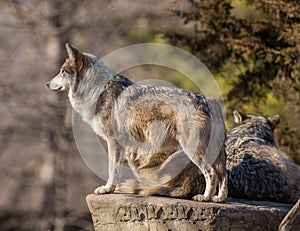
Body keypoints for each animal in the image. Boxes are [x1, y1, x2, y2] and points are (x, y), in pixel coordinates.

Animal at [45, 43, 226, 202]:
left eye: (62, 71)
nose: (47, 84)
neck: (96, 90)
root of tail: (208, 100)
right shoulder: (124, 147)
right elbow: (119, 171)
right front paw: (113, 189)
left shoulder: (113, 141)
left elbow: (112, 169)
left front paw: (106, 189)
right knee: (223, 174)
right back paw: (219, 199)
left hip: (193, 150)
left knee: (211, 173)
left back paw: (205, 198)